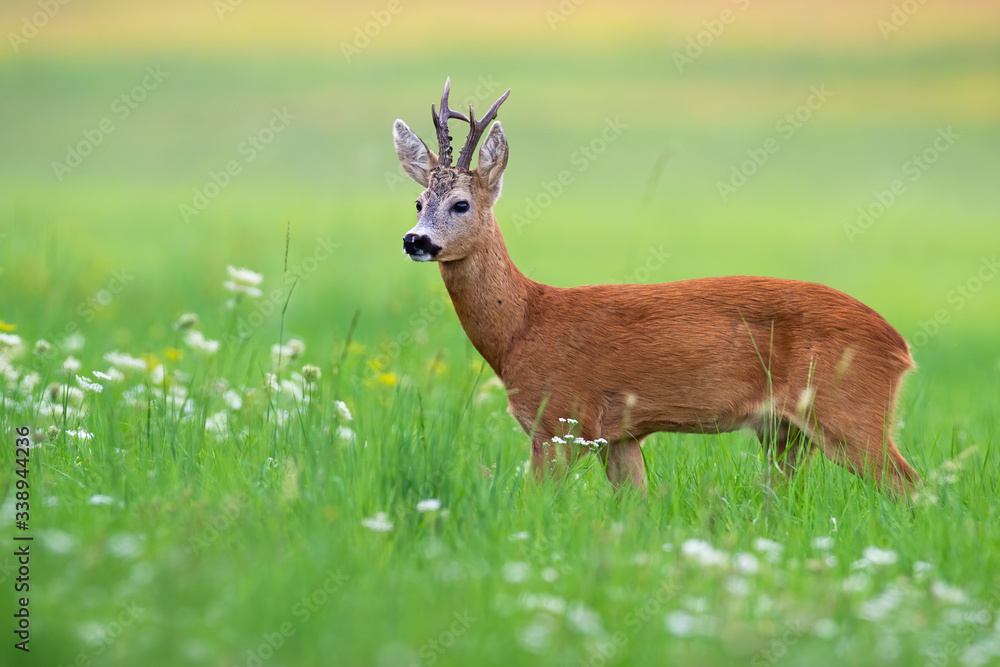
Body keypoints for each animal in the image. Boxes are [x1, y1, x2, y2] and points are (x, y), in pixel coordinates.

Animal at [392, 78, 920, 497]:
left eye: (461, 204)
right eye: (417, 201)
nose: (415, 240)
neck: (522, 327)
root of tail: (901, 348)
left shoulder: (559, 421)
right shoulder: (619, 436)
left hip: (849, 408)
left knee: (908, 485)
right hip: (785, 431)